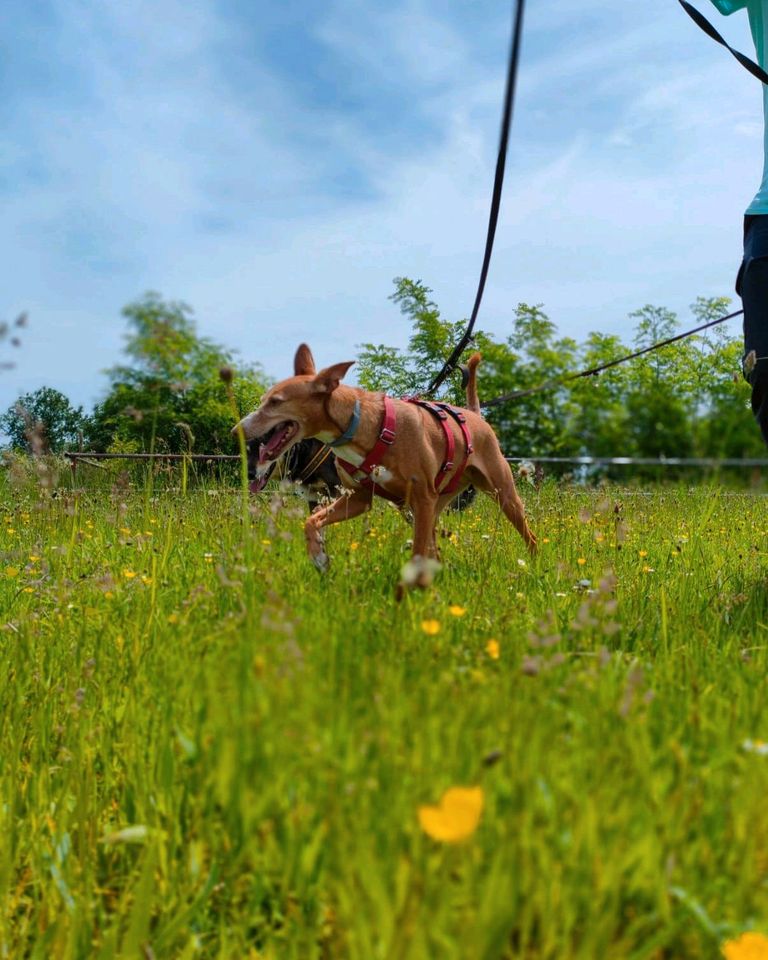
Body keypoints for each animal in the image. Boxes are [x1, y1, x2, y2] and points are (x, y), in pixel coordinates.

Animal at [237, 344, 536, 572]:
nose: (237, 429)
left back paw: (533, 566)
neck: (360, 425)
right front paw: (319, 556)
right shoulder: (357, 498)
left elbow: (416, 553)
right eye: (264, 399)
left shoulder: (418, 497)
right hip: (430, 507)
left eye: (275, 402)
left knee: (530, 536)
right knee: (433, 547)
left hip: (501, 495)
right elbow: (311, 521)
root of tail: (474, 414)